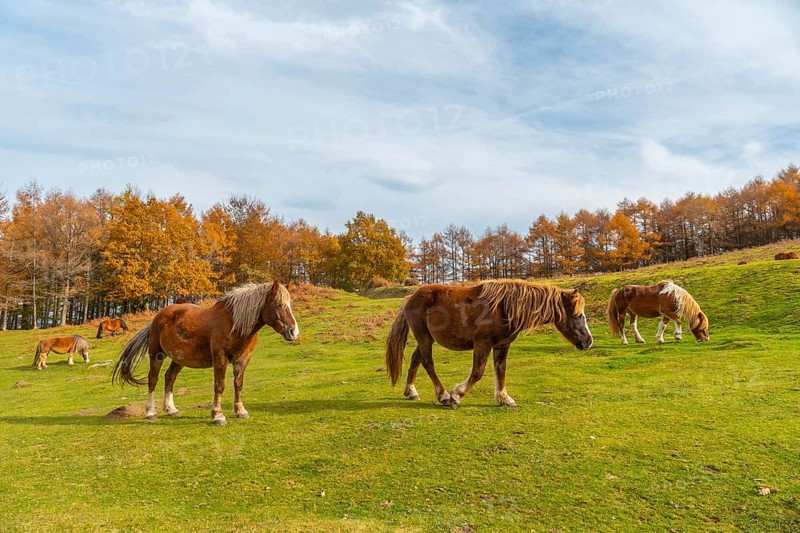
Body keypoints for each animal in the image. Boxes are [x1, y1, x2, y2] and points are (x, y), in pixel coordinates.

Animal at [112, 281, 299, 425]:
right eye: (278, 305)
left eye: (290, 305)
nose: (294, 332)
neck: (235, 324)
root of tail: (158, 316)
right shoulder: (220, 358)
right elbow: (219, 385)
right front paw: (218, 415)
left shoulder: (243, 360)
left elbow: (238, 385)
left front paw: (240, 411)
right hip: (156, 354)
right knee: (153, 379)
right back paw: (150, 412)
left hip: (179, 359)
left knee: (169, 377)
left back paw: (171, 409)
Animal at [385, 279, 593, 408]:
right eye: (577, 315)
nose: (589, 341)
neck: (504, 307)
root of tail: (411, 298)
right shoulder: (482, 343)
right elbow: (477, 372)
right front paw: (457, 396)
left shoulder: (502, 345)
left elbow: (501, 370)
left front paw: (504, 398)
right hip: (425, 338)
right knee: (428, 363)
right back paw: (443, 395)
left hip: (426, 338)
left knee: (416, 360)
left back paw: (411, 392)